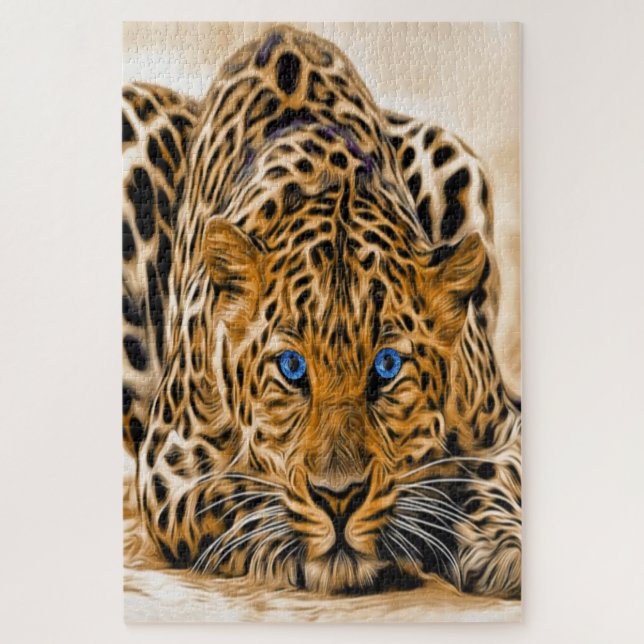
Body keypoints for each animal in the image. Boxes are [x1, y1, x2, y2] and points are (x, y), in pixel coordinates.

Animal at [122, 24, 521, 599]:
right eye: (292, 369)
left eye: (387, 367)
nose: (340, 498)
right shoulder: (169, 464)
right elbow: (234, 498)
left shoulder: (504, 425)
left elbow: (498, 476)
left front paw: (501, 547)